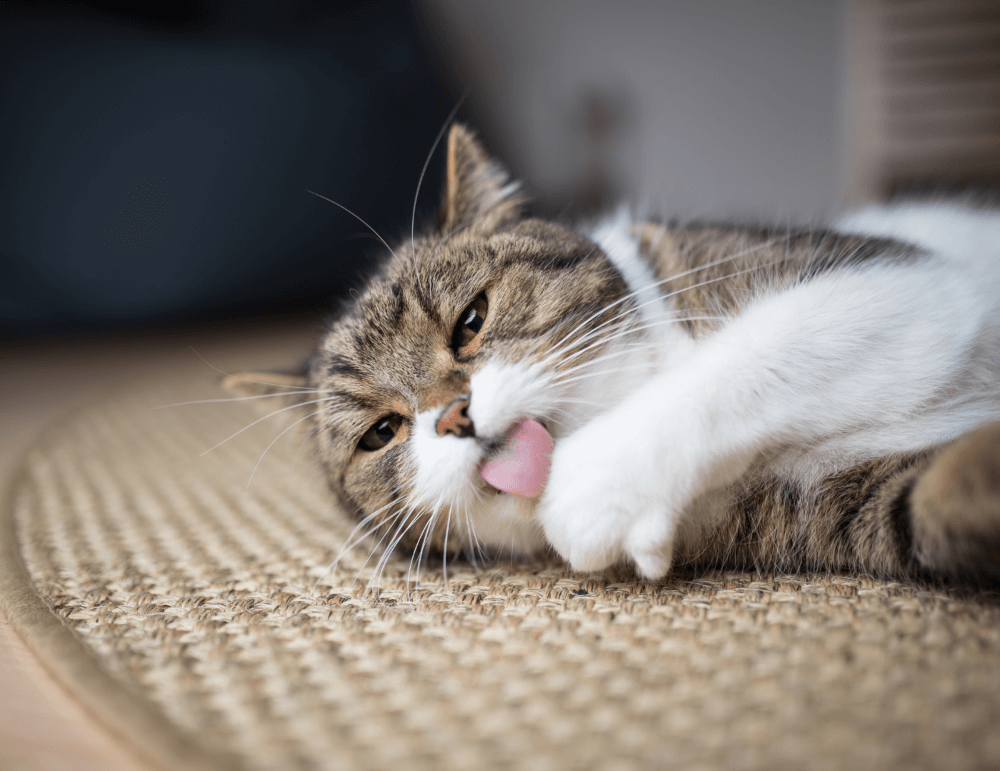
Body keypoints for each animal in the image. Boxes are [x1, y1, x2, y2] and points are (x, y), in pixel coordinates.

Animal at [227, 125, 1000, 584]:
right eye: (381, 433)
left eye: (471, 320)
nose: (453, 416)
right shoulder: (847, 501)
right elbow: (939, 495)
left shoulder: (900, 282)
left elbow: (751, 355)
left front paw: (596, 480)